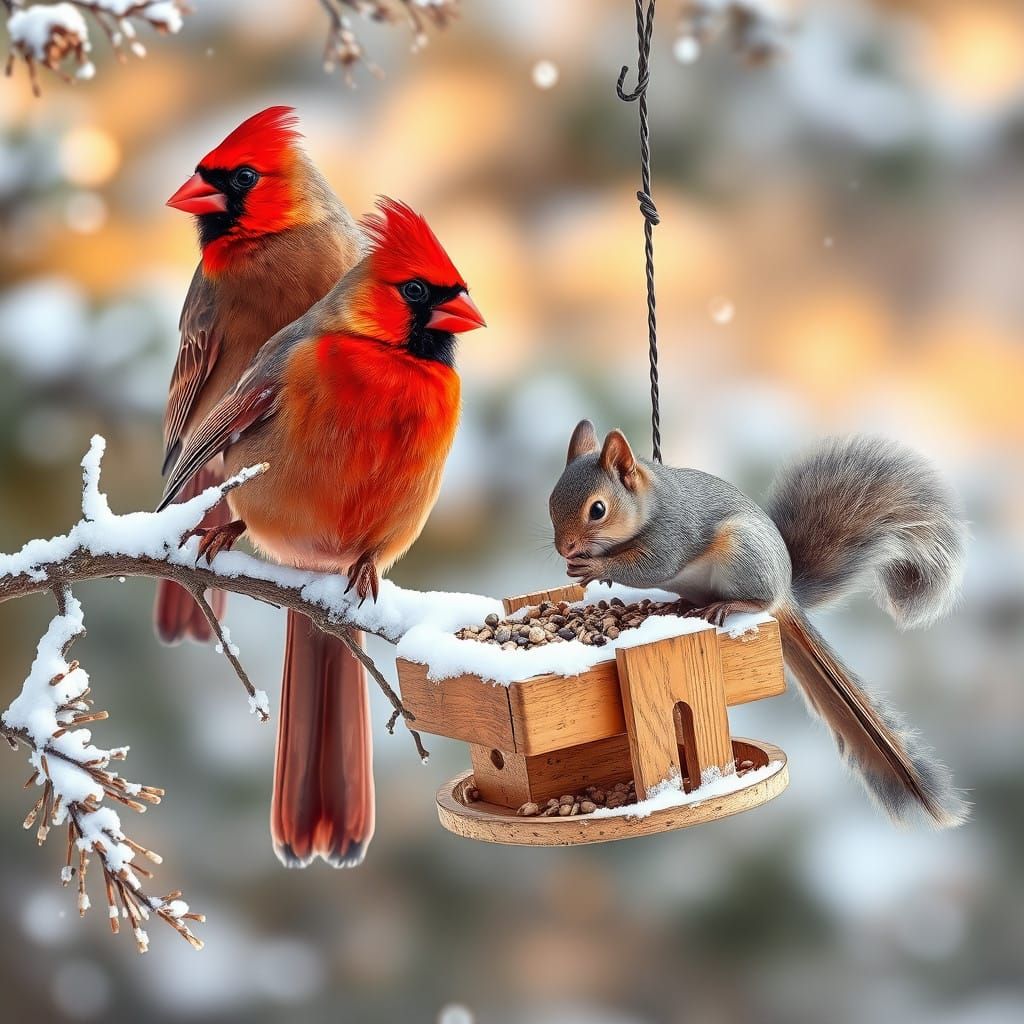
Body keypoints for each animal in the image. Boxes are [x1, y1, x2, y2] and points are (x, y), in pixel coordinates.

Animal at [549, 419, 969, 829]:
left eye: (598, 509)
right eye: (551, 503)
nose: (565, 548)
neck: (649, 505)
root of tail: (785, 590)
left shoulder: (672, 535)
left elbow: (652, 566)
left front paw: (596, 567)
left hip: (743, 554)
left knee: (757, 599)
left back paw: (728, 604)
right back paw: (683, 603)